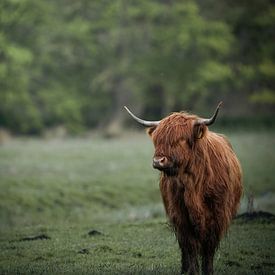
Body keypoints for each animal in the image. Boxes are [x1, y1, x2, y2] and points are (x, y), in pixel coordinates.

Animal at [125, 104, 244, 275]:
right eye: (157, 140)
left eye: (180, 139)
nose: (158, 161)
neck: (194, 186)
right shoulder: (181, 215)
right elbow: (190, 246)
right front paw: (192, 271)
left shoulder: (218, 215)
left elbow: (209, 249)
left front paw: (208, 270)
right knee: (184, 247)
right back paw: (184, 269)